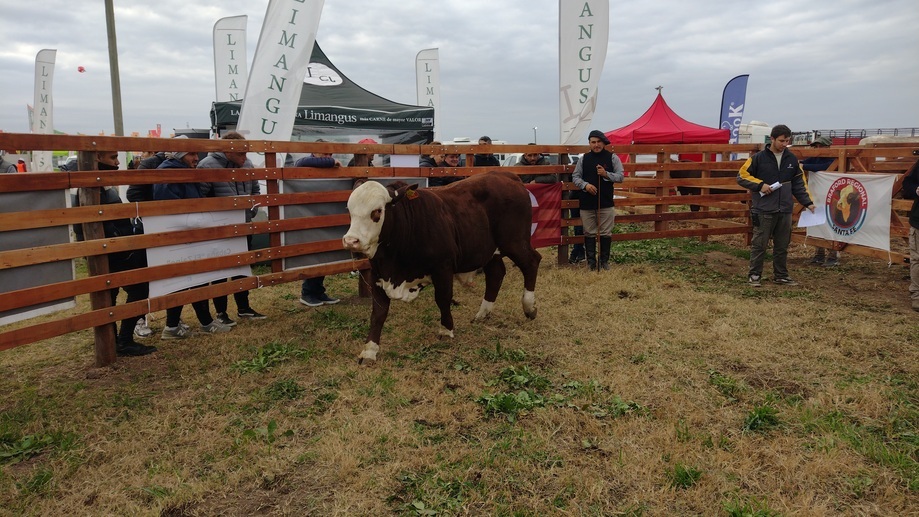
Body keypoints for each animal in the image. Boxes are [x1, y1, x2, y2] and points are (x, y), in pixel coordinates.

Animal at [346, 171, 548, 360]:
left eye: (377, 211)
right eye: (349, 210)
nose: (351, 241)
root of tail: (506, 175)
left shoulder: (442, 267)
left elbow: (442, 298)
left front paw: (446, 330)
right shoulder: (379, 274)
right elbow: (378, 312)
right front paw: (370, 350)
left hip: (515, 242)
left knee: (531, 262)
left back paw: (529, 307)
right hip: (489, 251)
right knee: (496, 274)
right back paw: (483, 313)